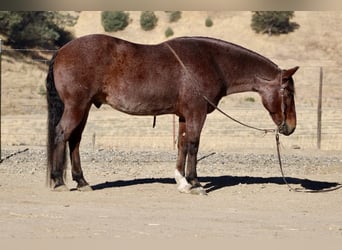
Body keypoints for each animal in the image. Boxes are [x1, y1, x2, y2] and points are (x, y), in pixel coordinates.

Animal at [46, 34, 300, 194]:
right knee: (61, 134)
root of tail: (62, 51)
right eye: (288, 92)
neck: (212, 62)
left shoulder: (183, 115)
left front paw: (182, 181)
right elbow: (194, 145)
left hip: (85, 107)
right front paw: (195, 183)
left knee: (74, 140)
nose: (291, 127)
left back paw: (81, 181)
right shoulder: (197, 112)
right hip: (77, 106)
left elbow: (182, 145)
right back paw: (58, 181)